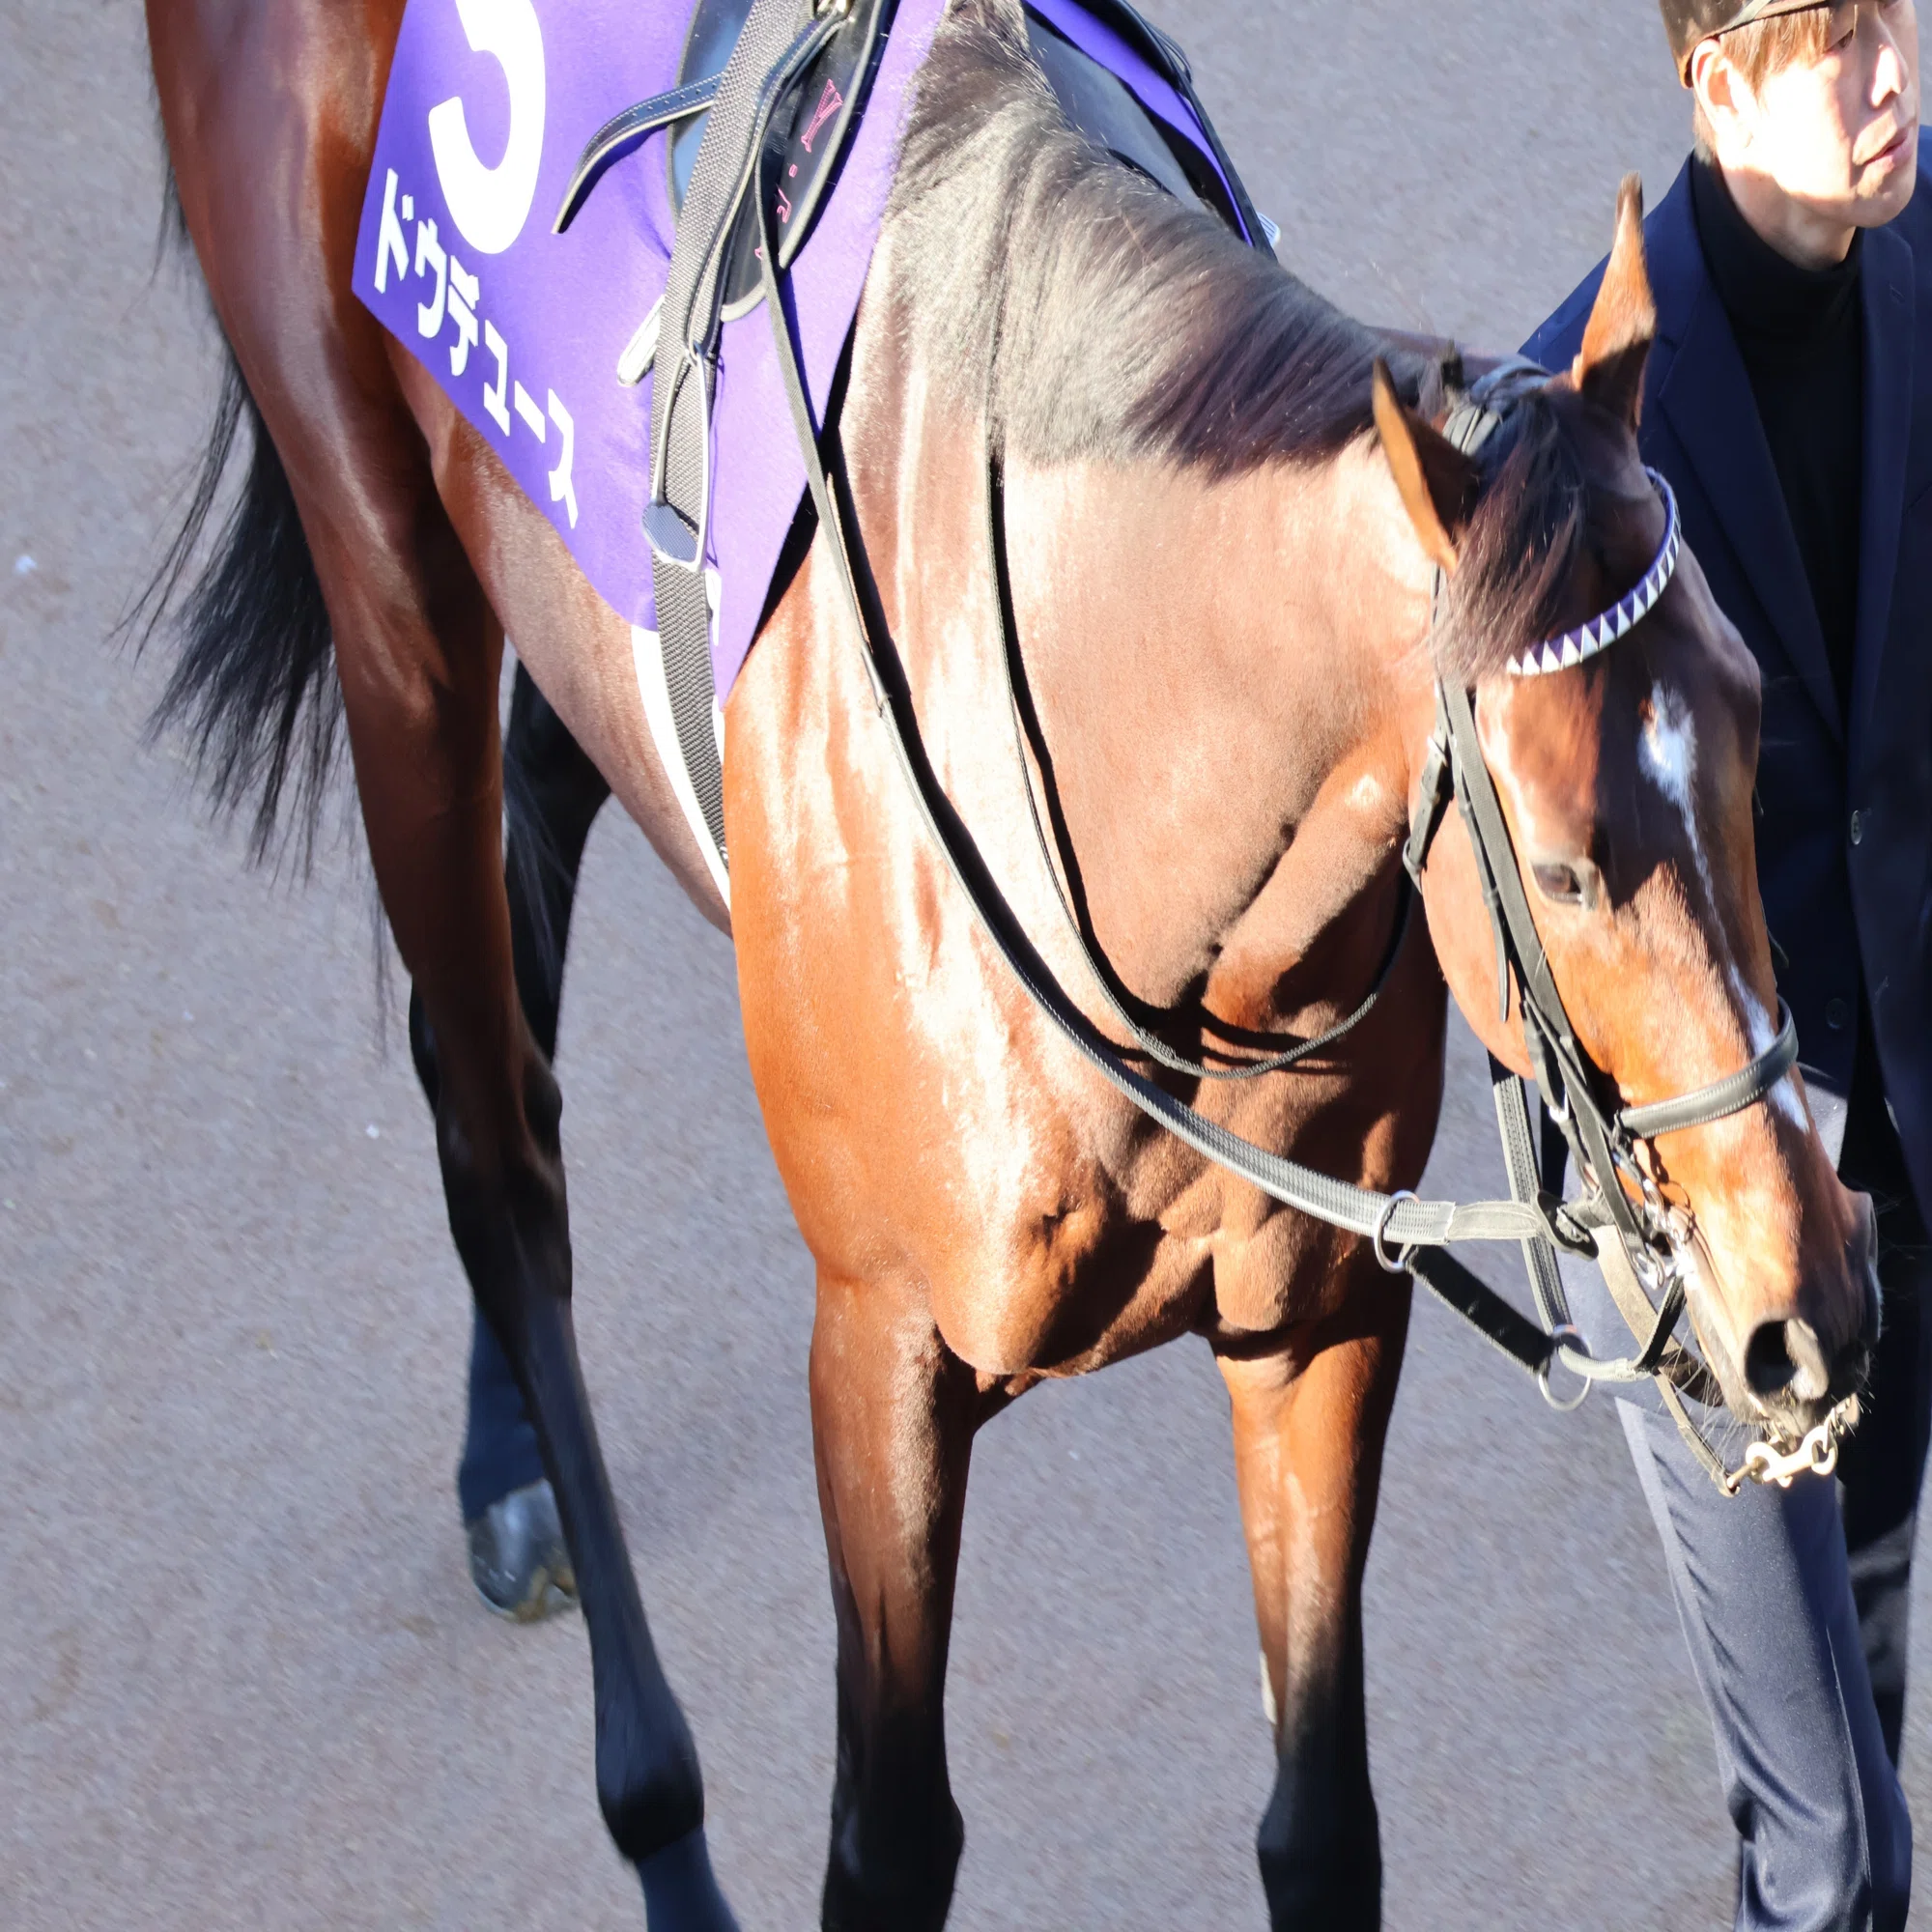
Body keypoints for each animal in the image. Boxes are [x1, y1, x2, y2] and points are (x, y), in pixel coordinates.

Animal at [143, 0, 1879, 1923]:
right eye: (1566, 863)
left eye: (1753, 734)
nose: (1809, 1303)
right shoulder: (881, 1345)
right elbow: (888, 1847)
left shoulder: (1313, 1314)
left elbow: (1319, 1825)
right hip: (386, 572)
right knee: (493, 1139)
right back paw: (646, 1787)